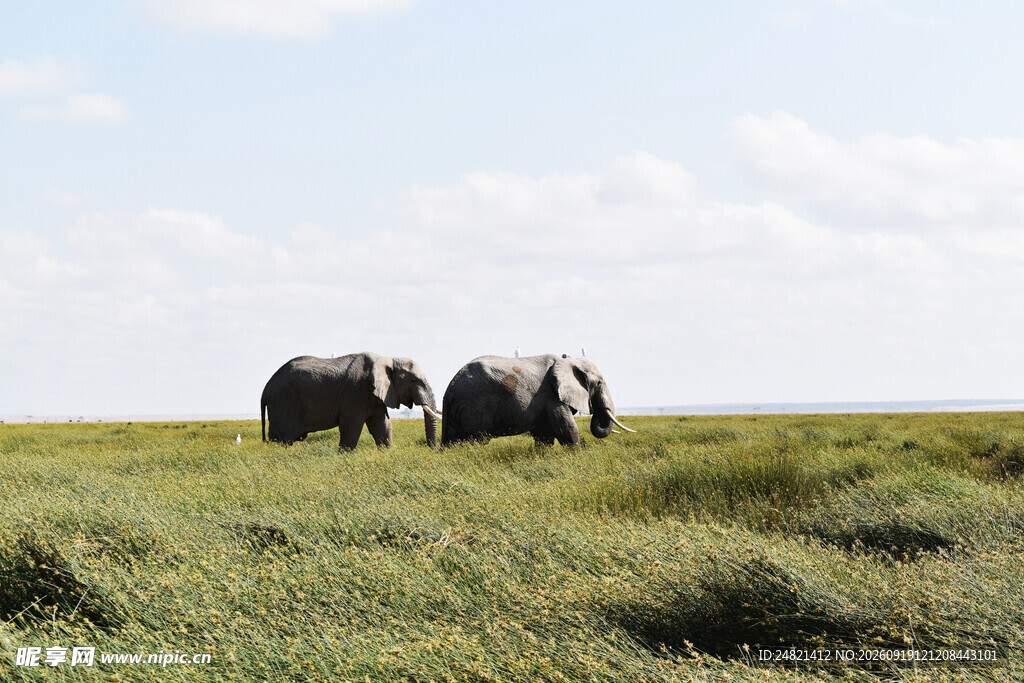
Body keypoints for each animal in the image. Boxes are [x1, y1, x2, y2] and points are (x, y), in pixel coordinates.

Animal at [261, 352, 441, 450]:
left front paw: (388, 451)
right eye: (414, 380)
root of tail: (266, 387)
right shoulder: (356, 392)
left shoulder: (376, 396)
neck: (387, 358)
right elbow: (351, 426)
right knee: (282, 438)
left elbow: (382, 425)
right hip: (283, 403)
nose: (432, 449)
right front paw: (343, 454)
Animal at [441, 354, 635, 447]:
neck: (569, 361)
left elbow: (544, 435)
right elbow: (567, 429)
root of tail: (450, 388)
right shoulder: (551, 395)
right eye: (600, 383)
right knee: (475, 440)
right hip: (474, 407)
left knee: (453, 441)